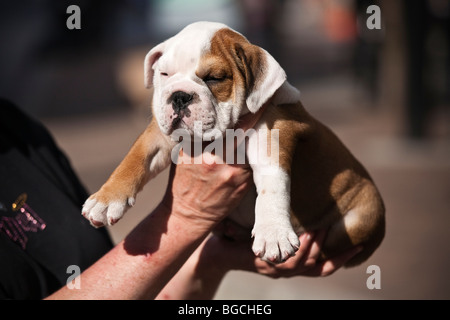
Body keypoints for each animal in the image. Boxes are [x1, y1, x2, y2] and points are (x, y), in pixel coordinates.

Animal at [81, 21, 384, 264]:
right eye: (164, 75)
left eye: (214, 78)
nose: (179, 96)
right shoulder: (158, 133)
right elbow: (136, 157)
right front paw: (107, 199)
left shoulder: (274, 132)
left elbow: (273, 182)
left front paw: (273, 232)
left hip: (363, 217)